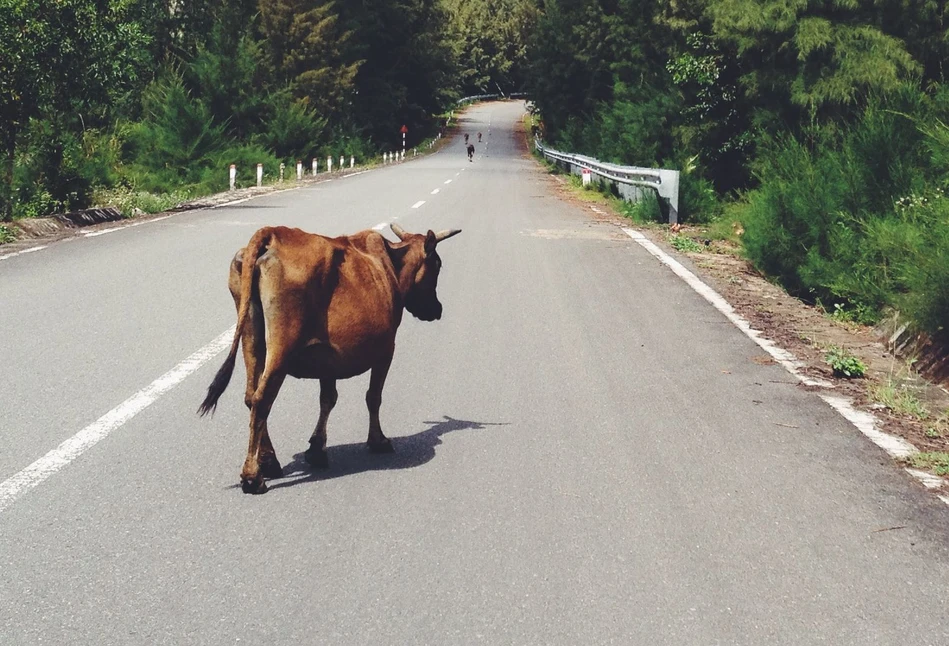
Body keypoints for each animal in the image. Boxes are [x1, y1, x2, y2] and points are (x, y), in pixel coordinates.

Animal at [200, 224, 462, 496]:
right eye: (437, 265)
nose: (437, 309)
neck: (391, 264)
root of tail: (272, 234)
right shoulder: (386, 349)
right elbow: (373, 397)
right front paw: (377, 440)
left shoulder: (327, 357)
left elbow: (327, 399)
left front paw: (317, 450)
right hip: (281, 345)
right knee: (262, 400)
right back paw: (253, 476)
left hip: (251, 337)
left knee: (251, 396)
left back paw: (269, 461)